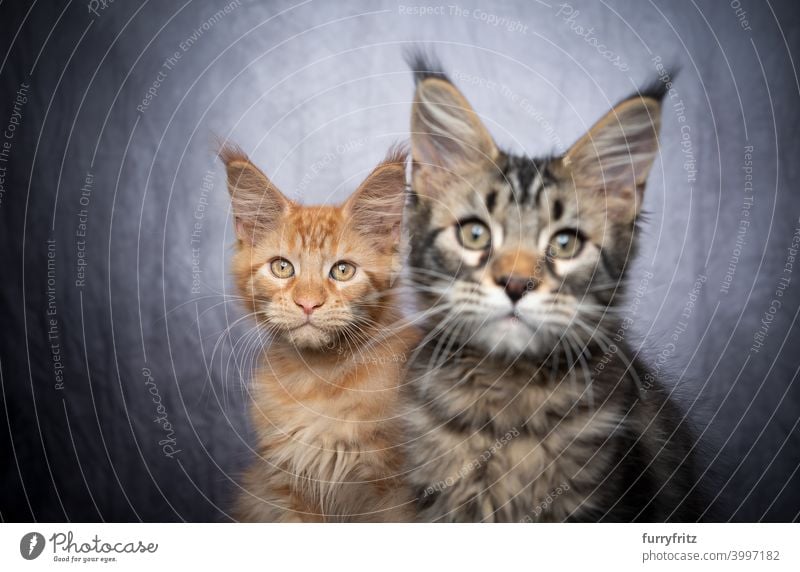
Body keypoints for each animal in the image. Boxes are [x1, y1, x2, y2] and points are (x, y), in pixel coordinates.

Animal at [222, 145, 416, 520]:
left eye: (342, 271)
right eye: (282, 267)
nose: (308, 303)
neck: (317, 382)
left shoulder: (396, 491)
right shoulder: (288, 488)